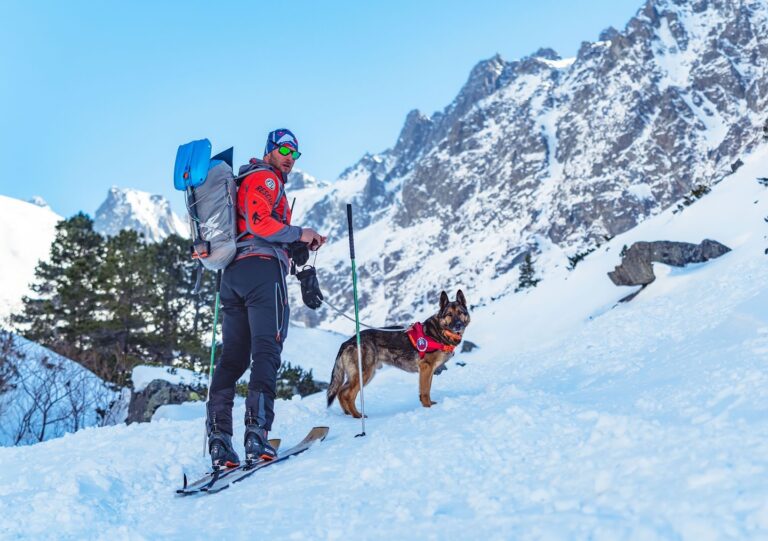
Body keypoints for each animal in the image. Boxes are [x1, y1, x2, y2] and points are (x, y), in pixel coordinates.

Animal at [324, 288, 468, 416]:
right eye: (449, 314)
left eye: (460, 312)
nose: (458, 325)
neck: (440, 332)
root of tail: (348, 341)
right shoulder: (425, 368)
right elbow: (425, 391)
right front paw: (428, 408)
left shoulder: (430, 371)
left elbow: (427, 389)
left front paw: (430, 405)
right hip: (364, 374)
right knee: (348, 394)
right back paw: (357, 415)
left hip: (363, 375)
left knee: (341, 392)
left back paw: (348, 413)